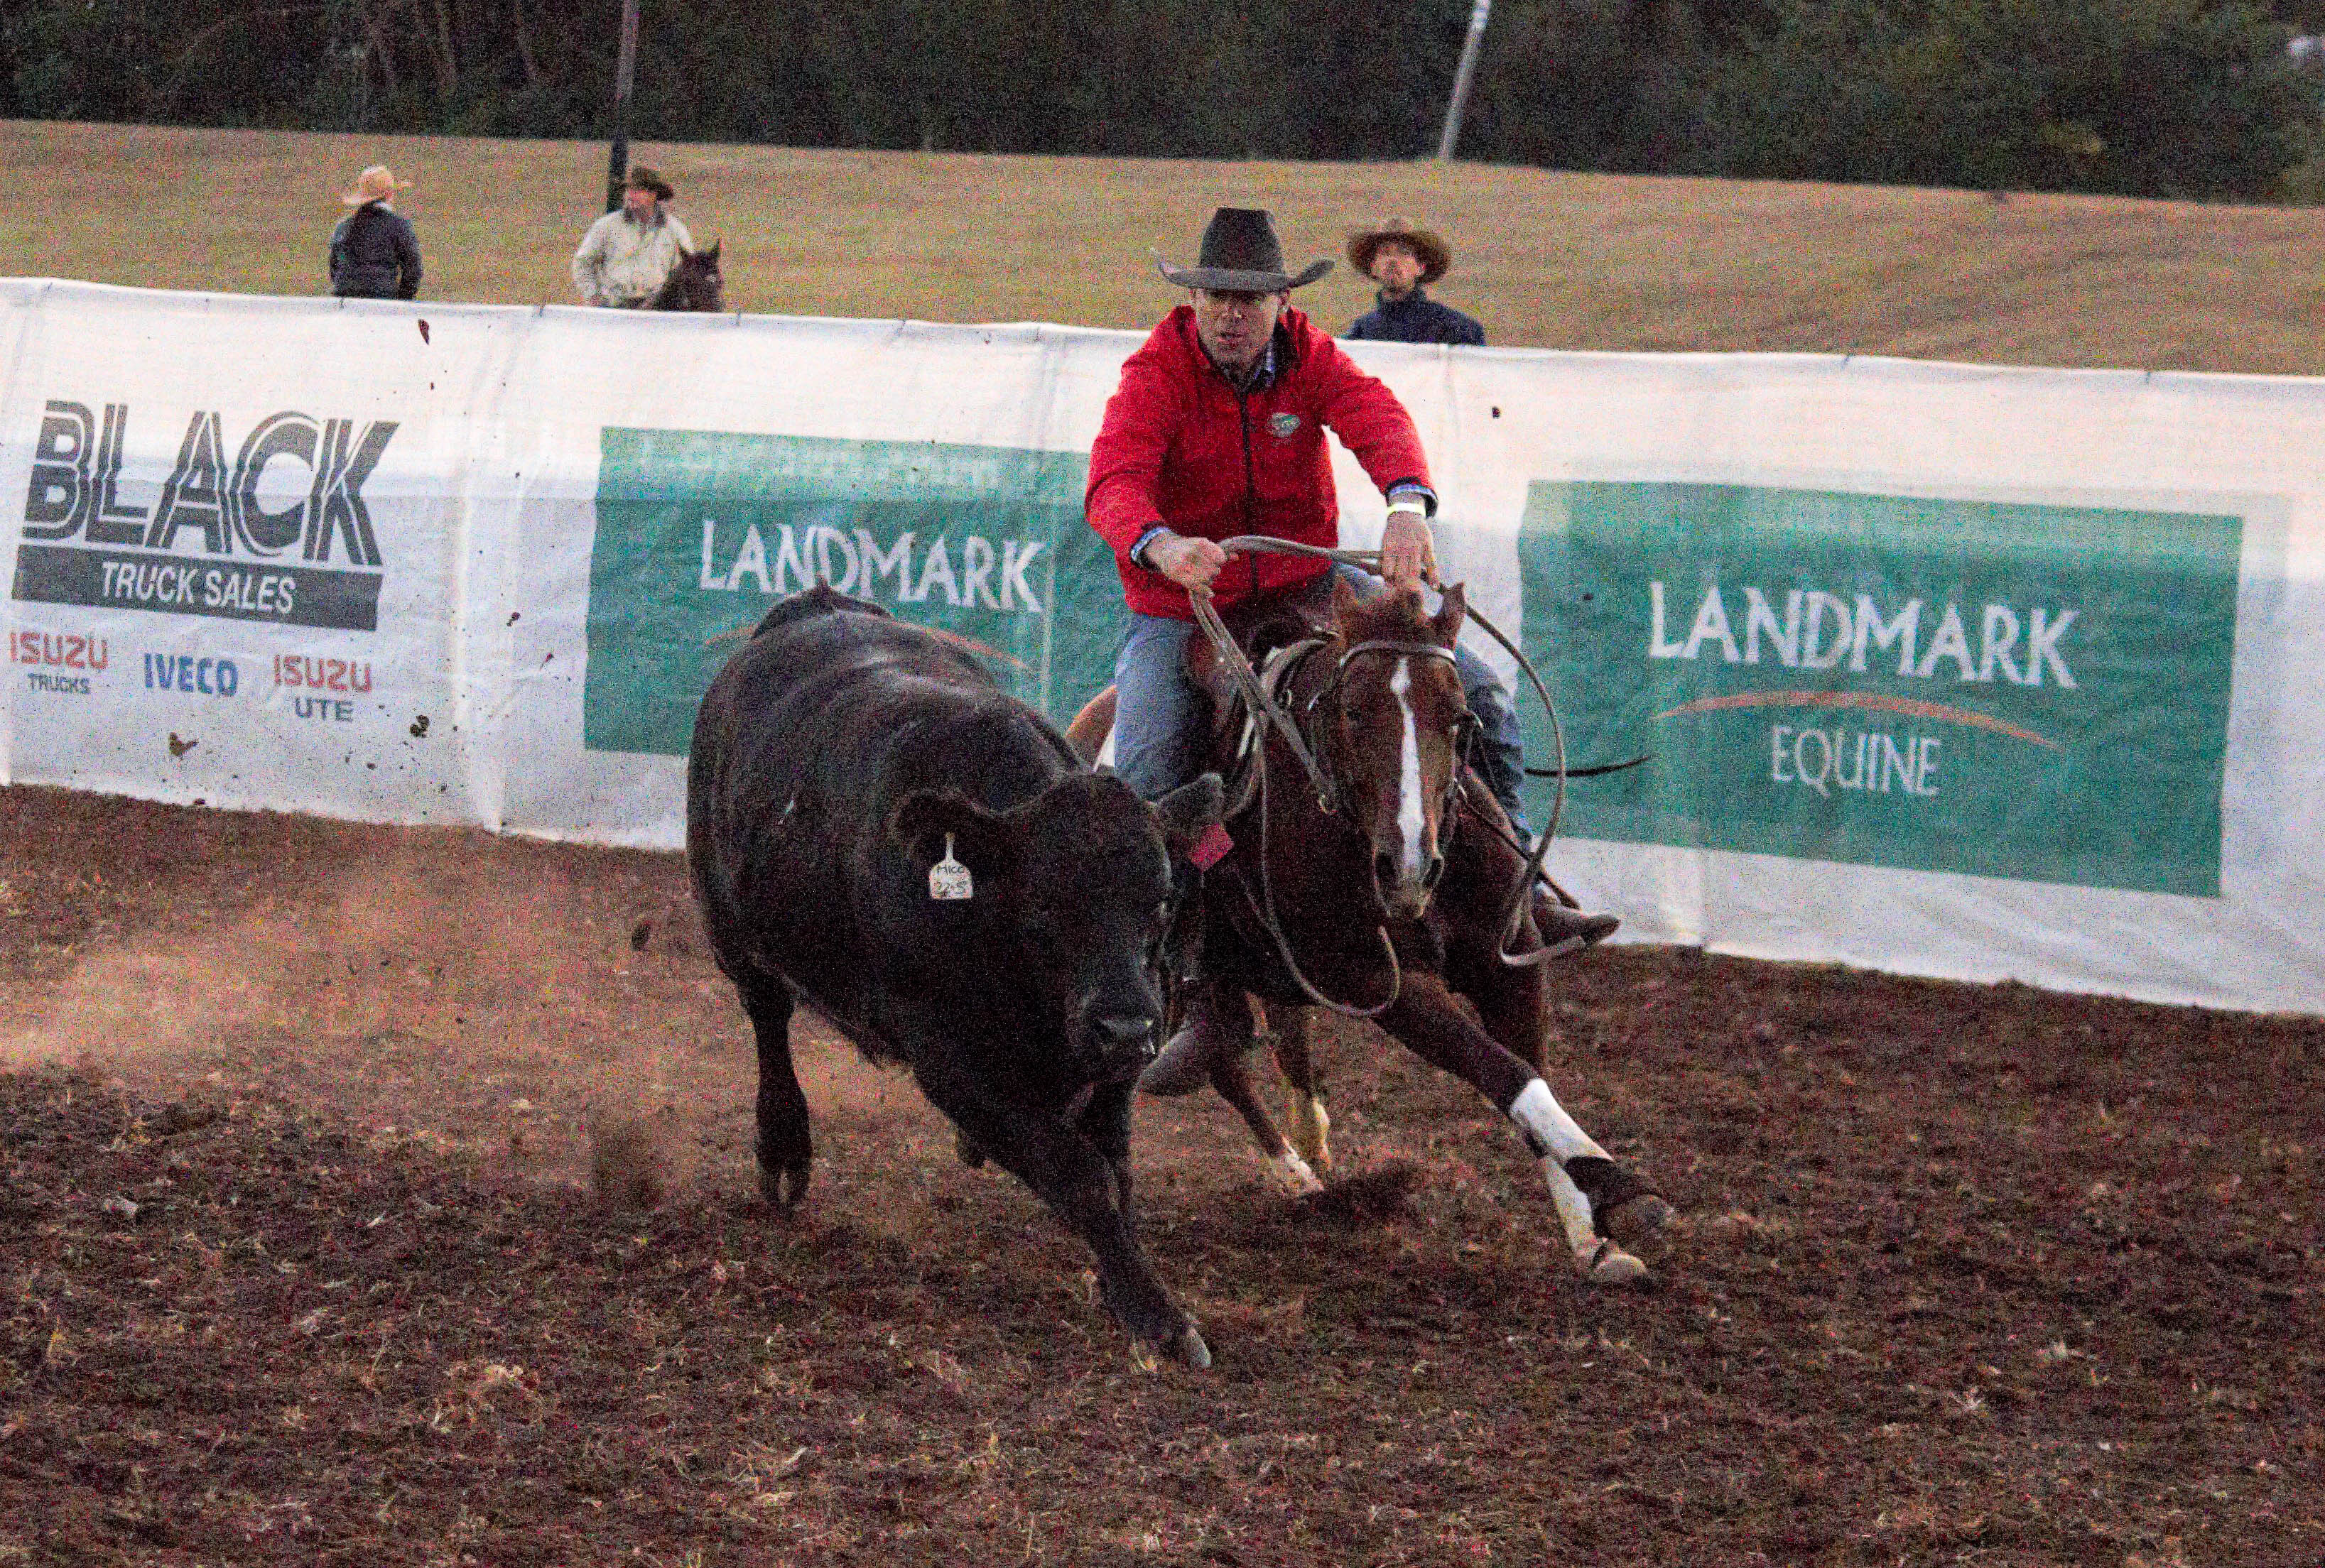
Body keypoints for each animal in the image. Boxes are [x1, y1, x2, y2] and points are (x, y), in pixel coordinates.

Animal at [687, 586, 1224, 1368]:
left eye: (1161, 899)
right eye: (1043, 906)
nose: (1125, 1027)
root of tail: (813, 605)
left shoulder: (1121, 1049)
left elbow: (1115, 1170)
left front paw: (1125, 1281)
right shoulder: (944, 1051)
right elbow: (1080, 1172)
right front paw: (1158, 1317)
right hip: (732, 932)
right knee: (768, 1022)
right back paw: (783, 1146)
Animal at [1067, 571, 1672, 1284]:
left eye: (1459, 716)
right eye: (1352, 713)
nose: (1407, 864)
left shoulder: (1510, 962)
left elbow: (1531, 1069)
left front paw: (1591, 1236)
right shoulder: (1369, 979)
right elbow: (1501, 1071)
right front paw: (1619, 1187)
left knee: (1282, 1039)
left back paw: (1308, 1137)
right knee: (1221, 1058)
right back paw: (1285, 1167)